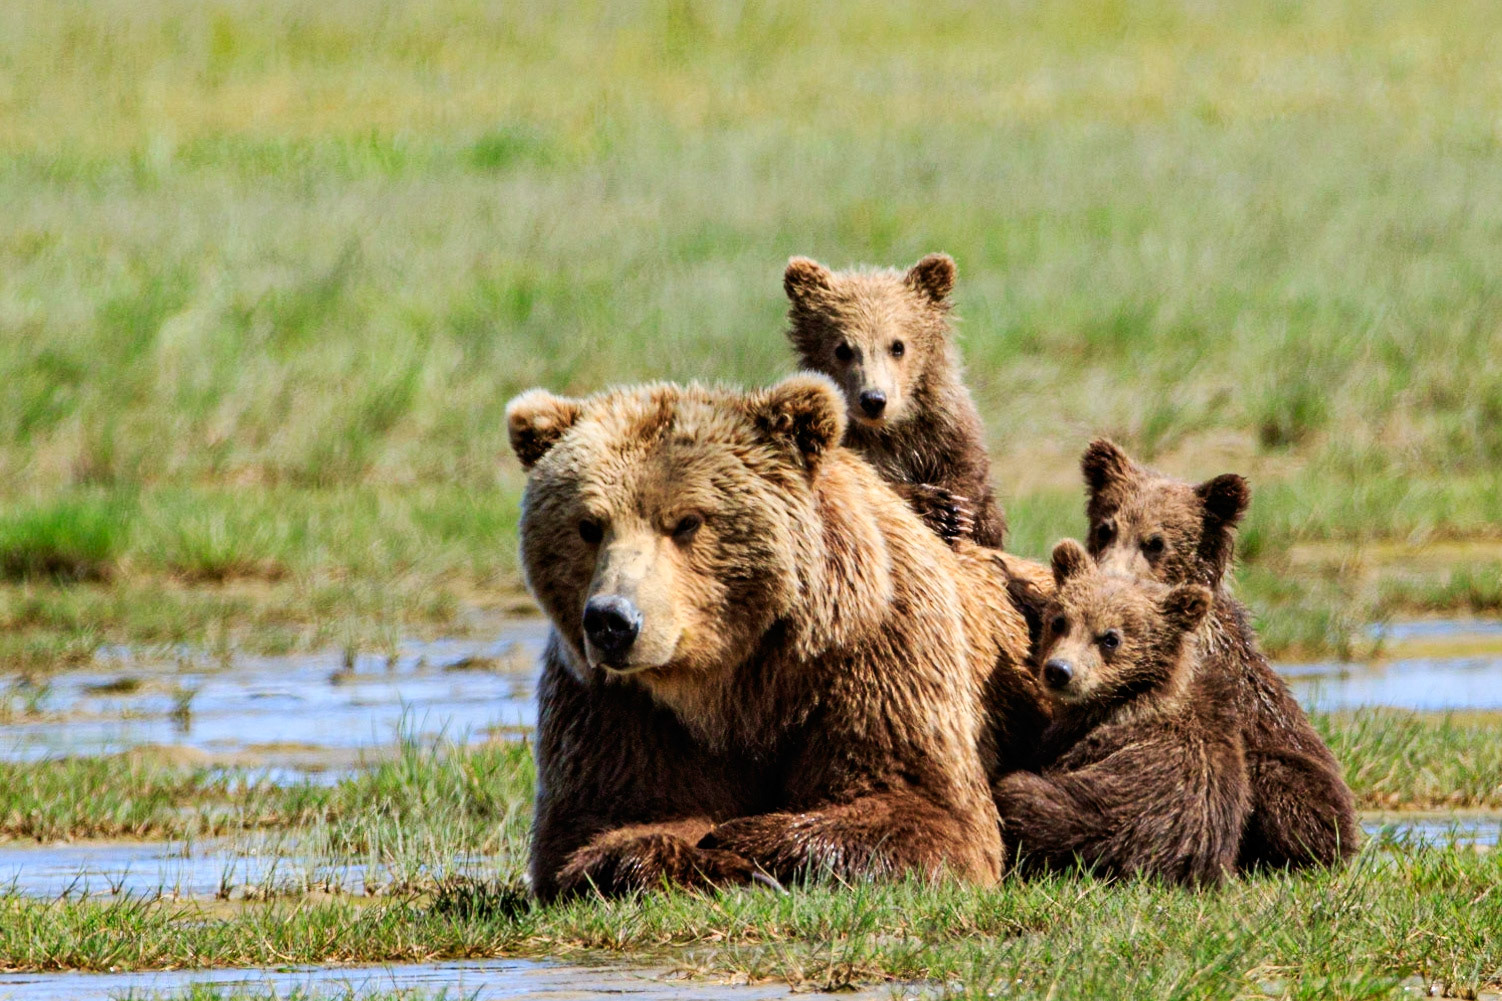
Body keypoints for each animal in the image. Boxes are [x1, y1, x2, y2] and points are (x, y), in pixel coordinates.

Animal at [506, 374, 1046, 901]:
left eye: (686, 521)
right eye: (589, 525)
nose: (612, 621)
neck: (735, 681)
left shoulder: (878, 650)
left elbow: (921, 806)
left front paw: (743, 838)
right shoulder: (618, 705)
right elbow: (602, 824)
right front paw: (711, 861)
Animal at [783, 253, 1006, 548]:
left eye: (897, 346)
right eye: (842, 349)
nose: (874, 399)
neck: (890, 435)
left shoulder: (947, 433)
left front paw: (956, 513)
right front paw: (939, 509)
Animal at [993, 540, 1251, 887]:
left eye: (1110, 638)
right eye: (1060, 621)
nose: (1059, 671)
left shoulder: (1081, 736)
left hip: (1091, 817)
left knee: (1023, 796)